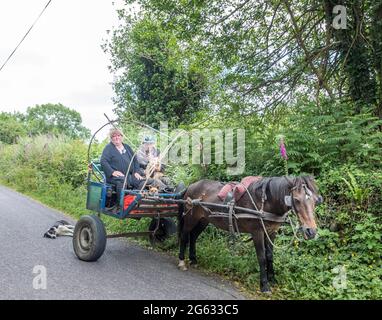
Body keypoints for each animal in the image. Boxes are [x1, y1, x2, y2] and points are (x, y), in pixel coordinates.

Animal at [178, 176, 320, 294]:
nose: (311, 231)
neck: (265, 203)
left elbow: (270, 256)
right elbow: (262, 258)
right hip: (191, 218)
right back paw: (181, 261)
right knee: (185, 236)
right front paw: (264, 285)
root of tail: (191, 186)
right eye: (296, 200)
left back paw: (193, 259)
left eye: (315, 200)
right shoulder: (257, 232)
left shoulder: (271, 232)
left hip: (204, 220)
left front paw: (272, 279)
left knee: (193, 237)